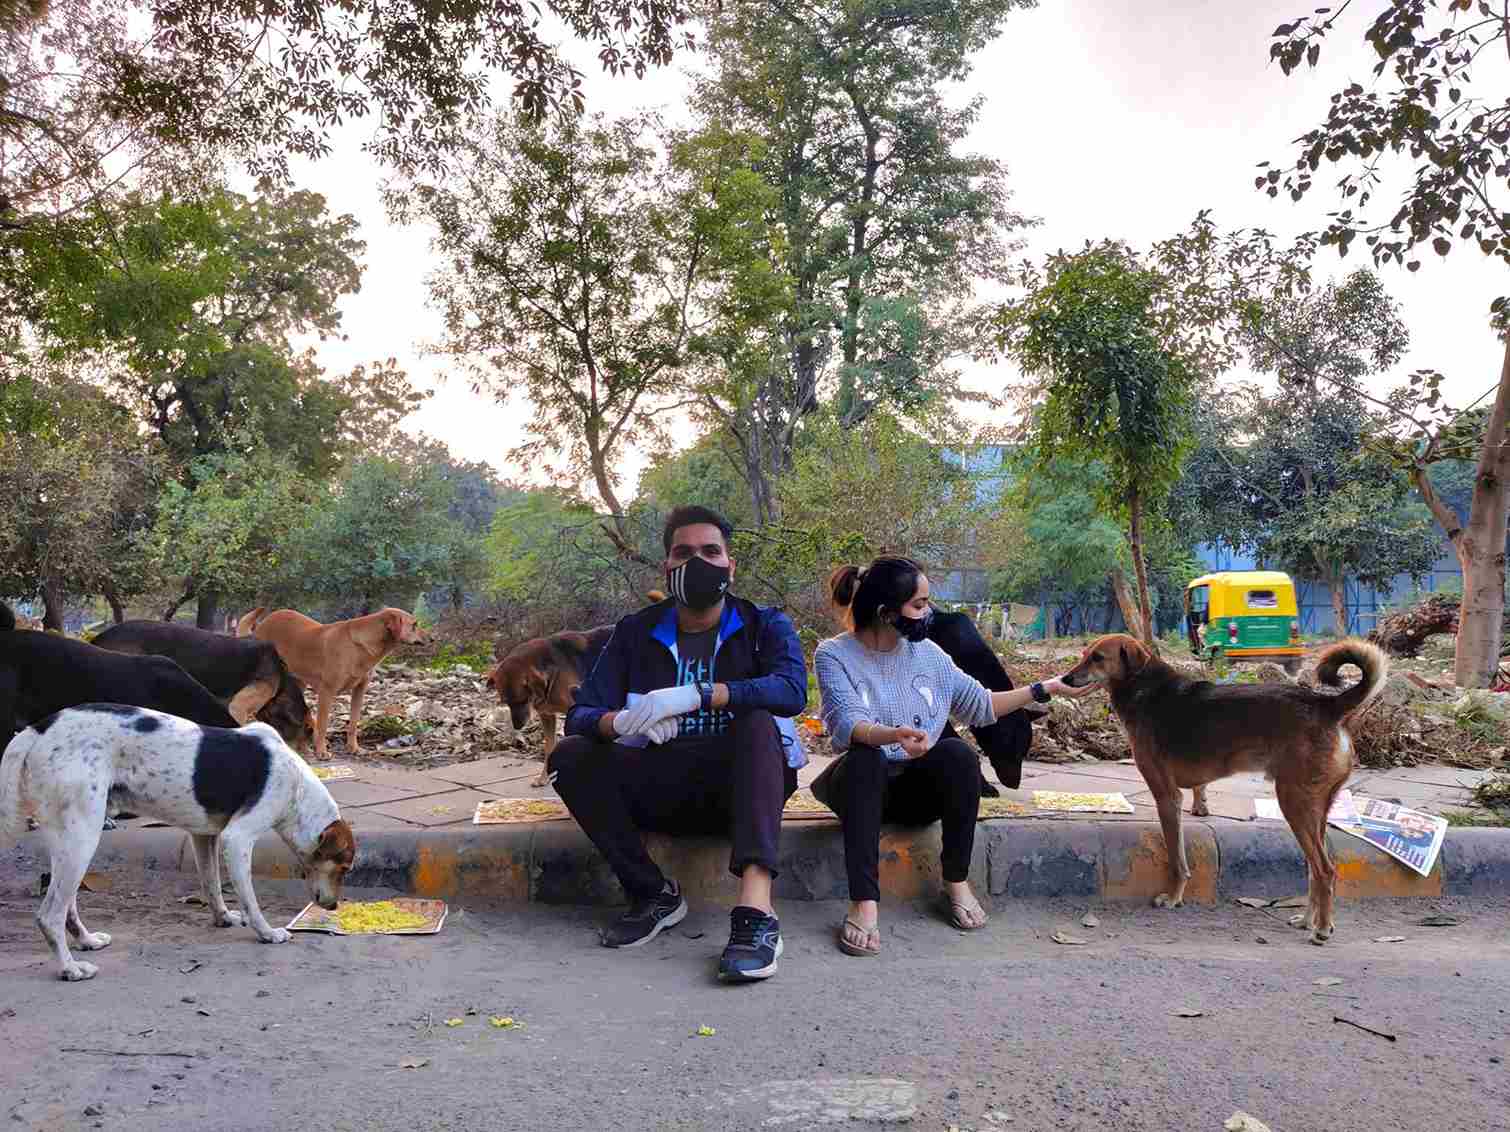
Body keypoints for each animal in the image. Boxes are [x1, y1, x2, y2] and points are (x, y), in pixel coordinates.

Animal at [0, 706, 354, 978]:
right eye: (344, 868)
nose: (334, 906)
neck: (298, 791)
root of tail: (37, 730)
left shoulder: (205, 836)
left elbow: (212, 884)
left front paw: (223, 918)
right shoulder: (238, 839)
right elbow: (251, 902)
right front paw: (267, 932)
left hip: (68, 839)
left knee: (67, 905)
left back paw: (86, 941)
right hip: (83, 835)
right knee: (50, 914)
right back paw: (70, 969)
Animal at [238, 603, 425, 763]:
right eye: (414, 625)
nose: (430, 638)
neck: (359, 646)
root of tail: (263, 624)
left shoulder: (359, 691)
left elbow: (353, 722)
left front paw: (353, 748)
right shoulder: (327, 692)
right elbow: (323, 724)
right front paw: (321, 751)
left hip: (297, 684)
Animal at [492, 624, 616, 784]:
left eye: (523, 700)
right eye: (506, 703)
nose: (517, 726)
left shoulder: (574, 711)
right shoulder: (547, 717)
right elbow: (549, 748)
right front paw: (544, 778)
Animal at [1063, 633, 1383, 941]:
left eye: (1097, 658)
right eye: (1084, 654)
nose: (1066, 679)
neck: (1144, 687)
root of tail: (1326, 705)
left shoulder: (1167, 796)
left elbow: (1177, 859)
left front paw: (1173, 898)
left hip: (1295, 804)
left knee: (1325, 871)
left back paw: (1322, 929)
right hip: (1315, 811)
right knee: (1314, 872)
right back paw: (1307, 921)